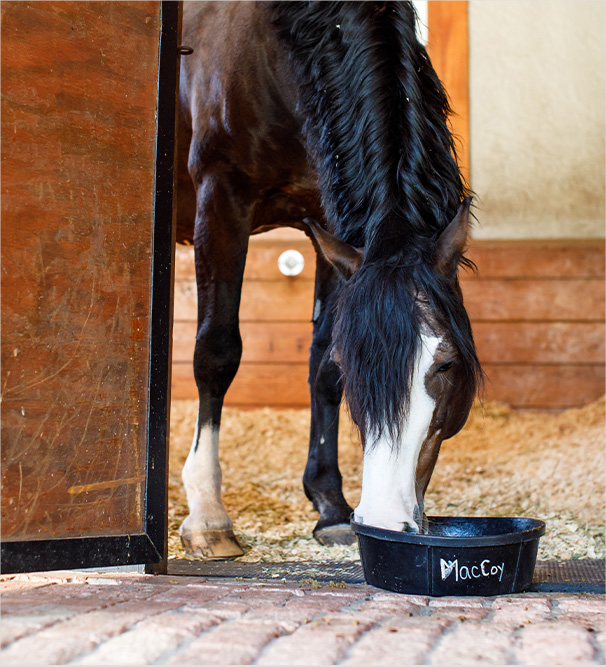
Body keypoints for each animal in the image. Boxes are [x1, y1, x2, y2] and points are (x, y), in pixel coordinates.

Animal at [176, 0, 483, 559]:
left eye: (447, 363)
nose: (384, 517)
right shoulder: (221, 197)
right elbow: (215, 352)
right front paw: (208, 515)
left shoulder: (331, 224)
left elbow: (321, 365)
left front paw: (330, 506)